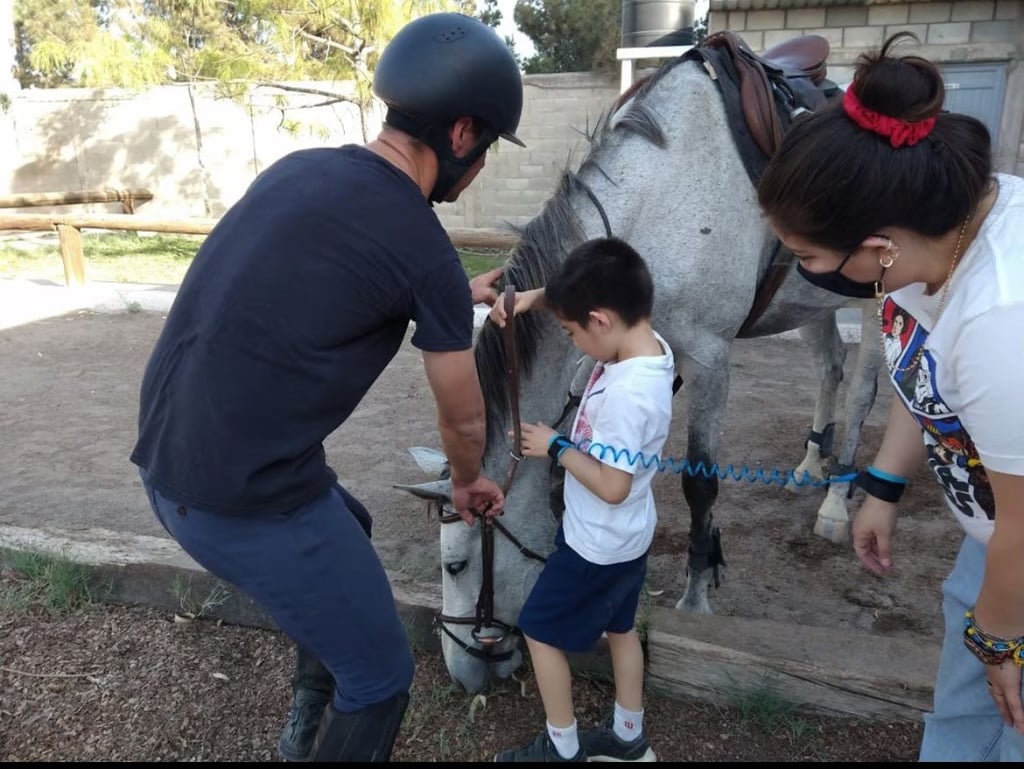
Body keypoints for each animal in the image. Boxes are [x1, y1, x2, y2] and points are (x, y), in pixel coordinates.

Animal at [393, 36, 880, 696]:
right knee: (831, 366)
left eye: (457, 563)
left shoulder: (711, 358)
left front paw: (697, 600)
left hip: (881, 295)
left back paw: (835, 501)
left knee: (863, 387)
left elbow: (700, 483)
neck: (663, 200)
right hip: (812, 302)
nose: (461, 675)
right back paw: (809, 465)